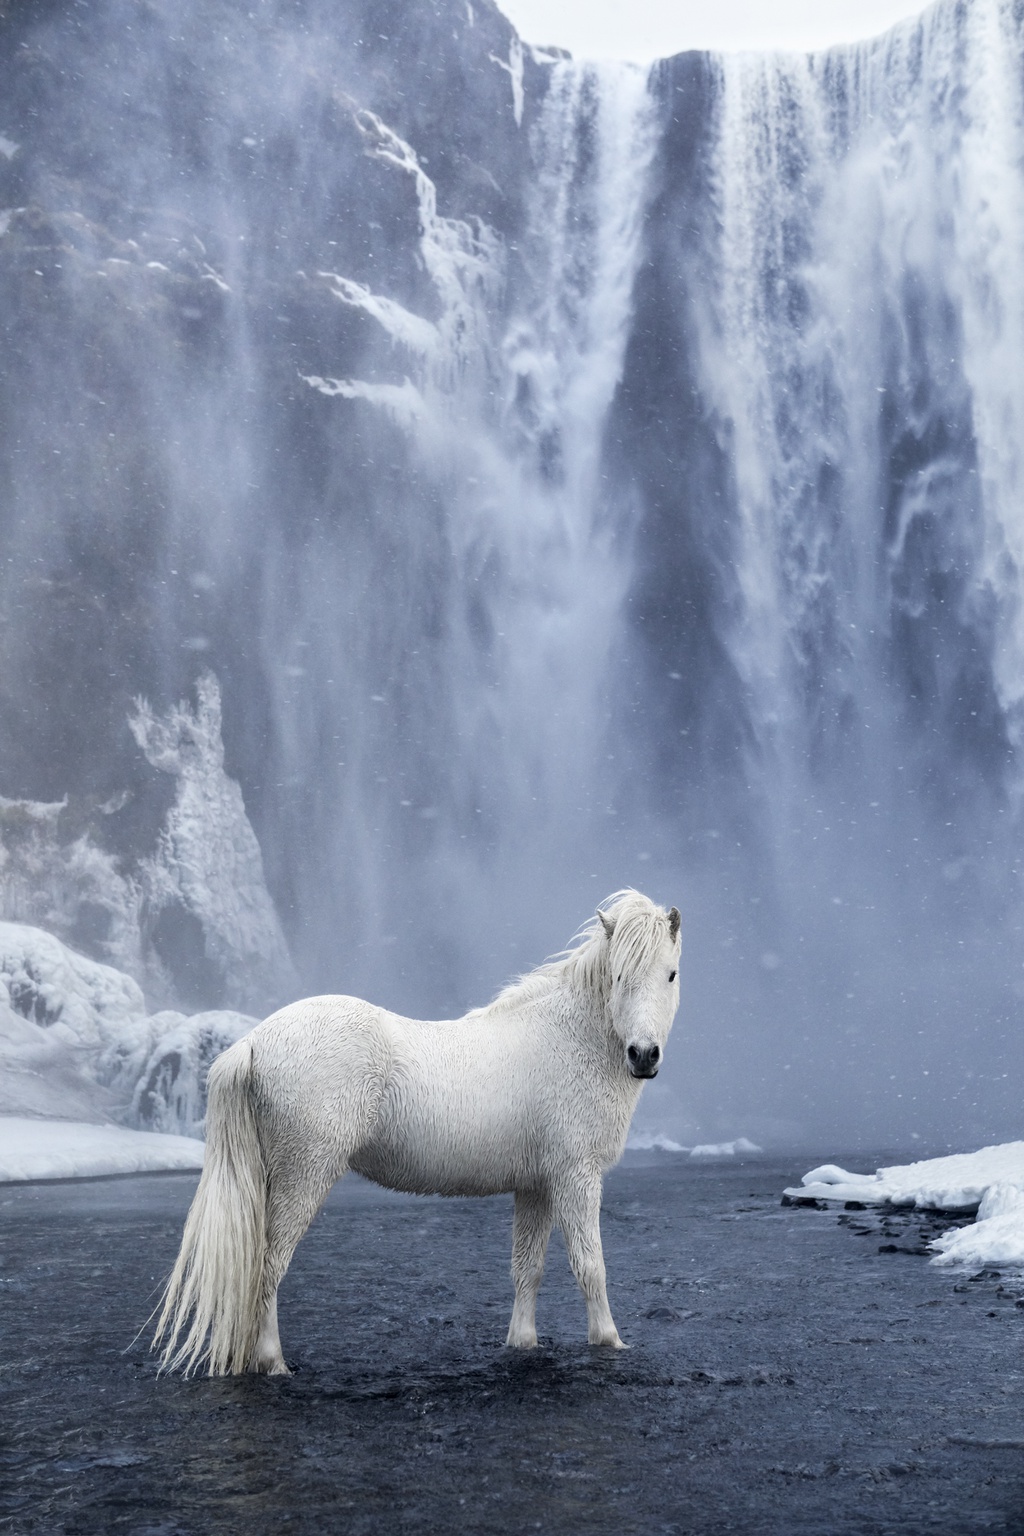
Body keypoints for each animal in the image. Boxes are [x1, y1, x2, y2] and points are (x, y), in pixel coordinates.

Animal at [154, 890, 681, 1382]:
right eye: (618, 976)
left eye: (671, 974)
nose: (643, 1055)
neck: (568, 1039)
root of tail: (253, 1041)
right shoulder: (576, 1177)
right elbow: (590, 1266)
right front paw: (609, 1341)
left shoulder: (536, 1185)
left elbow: (526, 1268)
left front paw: (522, 1342)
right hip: (302, 1177)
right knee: (268, 1267)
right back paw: (274, 1362)